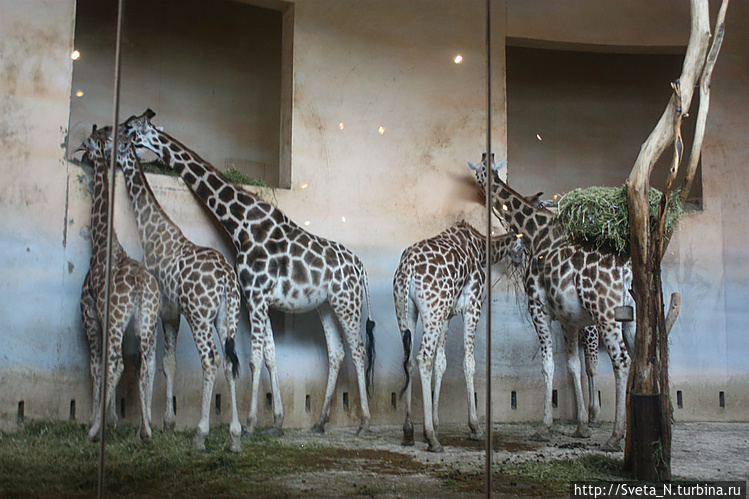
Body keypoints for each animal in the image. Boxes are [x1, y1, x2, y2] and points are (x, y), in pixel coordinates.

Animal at [75, 125, 160, 442]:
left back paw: (95, 431)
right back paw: (145, 430)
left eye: (87, 144)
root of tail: (139, 284)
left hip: (116, 318)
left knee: (116, 362)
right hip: (146, 321)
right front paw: (112, 419)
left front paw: (99, 421)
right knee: (145, 365)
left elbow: (96, 367)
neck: (101, 240)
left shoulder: (90, 314)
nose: (82, 156)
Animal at [114, 133, 243, 454]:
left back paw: (200, 434)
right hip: (227, 317)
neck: (151, 232)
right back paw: (235, 437)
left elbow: (152, 361)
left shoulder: (163, 310)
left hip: (200, 316)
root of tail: (226, 278)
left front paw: (152, 426)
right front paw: (167, 423)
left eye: (115, 140)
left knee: (210, 359)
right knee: (230, 361)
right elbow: (168, 362)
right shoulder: (173, 313)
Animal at [125, 108, 376, 438]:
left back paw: (364, 422)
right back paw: (321, 421)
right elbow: (269, 355)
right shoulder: (258, 299)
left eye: (129, 130)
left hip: (349, 302)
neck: (241, 224)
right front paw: (277, 420)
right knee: (336, 352)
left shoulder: (255, 296)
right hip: (326, 305)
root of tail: (360, 267)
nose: (111, 135)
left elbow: (255, 358)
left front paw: (252, 423)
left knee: (358, 350)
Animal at [394, 222, 524, 454]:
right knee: (423, 358)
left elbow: (441, 363)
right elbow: (468, 362)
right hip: (432, 309)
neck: (481, 247)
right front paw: (475, 427)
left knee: (408, 360)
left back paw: (408, 432)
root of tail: (407, 268)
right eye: (523, 247)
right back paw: (431, 439)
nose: (518, 262)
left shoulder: (447, 313)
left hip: (406, 309)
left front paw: (436, 422)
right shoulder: (473, 304)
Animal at [468, 154, 632, 452]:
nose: (478, 193)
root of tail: (626, 270)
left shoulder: (538, 307)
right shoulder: (569, 318)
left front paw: (544, 428)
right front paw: (581, 427)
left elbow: (547, 365)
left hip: (606, 312)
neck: (538, 233)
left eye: (479, 174)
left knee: (621, 360)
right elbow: (573, 365)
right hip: (631, 317)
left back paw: (615, 436)